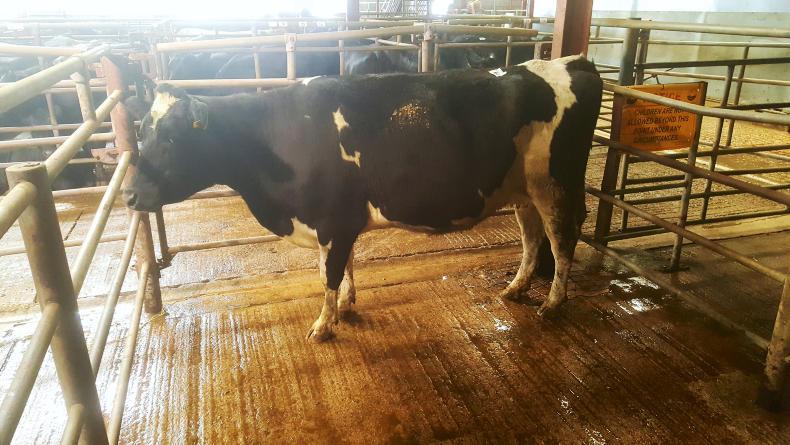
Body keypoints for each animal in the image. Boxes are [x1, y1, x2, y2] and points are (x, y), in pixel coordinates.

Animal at [122, 55, 602, 341]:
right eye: (142, 131)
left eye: (172, 137)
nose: (128, 193)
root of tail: (568, 60)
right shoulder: (340, 220)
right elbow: (343, 265)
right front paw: (345, 305)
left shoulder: (331, 219)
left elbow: (328, 274)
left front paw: (323, 324)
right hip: (522, 189)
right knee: (533, 238)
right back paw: (516, 289)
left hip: (556, 184)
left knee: (562, 239)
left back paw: (553, 304)